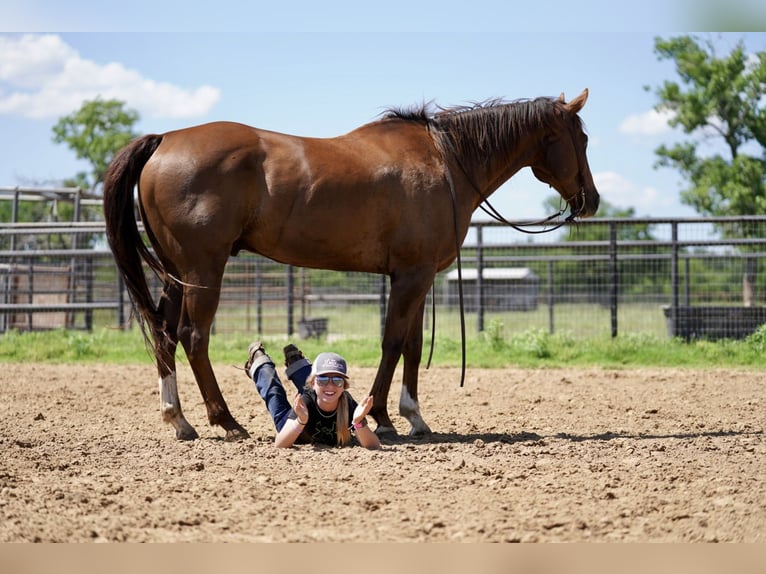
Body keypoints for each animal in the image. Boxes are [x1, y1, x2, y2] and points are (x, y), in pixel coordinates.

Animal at [100, 89, 600, 440]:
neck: (444, 161)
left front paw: (414, 416)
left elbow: (413, 345)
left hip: (176, 273)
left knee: (165, 336)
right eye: (583, 137)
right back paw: (226, 421)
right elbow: (393, 342)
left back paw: (178, 419)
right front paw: (383, 417)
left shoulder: (417, 278)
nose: (591, 200)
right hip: (203, 270)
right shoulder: (412, 277)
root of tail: (164, 141)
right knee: (193, 337)